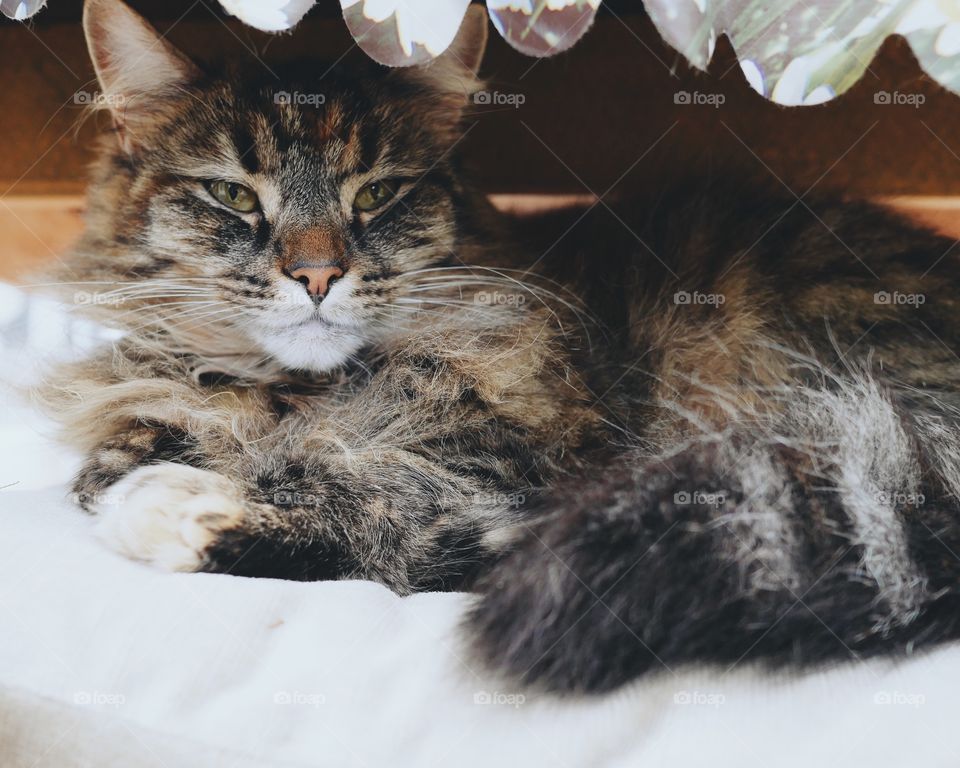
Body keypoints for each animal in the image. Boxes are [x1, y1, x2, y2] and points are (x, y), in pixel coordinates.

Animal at [43, 0, 960, 696]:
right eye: (232, 196)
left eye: (377, 194)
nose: (316, 274)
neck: (295, 390)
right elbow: (121, 458)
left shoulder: (526, 481)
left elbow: (371, 500)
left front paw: (181, 504)